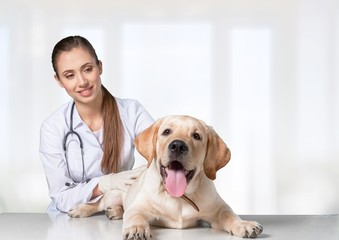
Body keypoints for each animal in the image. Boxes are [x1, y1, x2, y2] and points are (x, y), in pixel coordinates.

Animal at [69, 116, 264, 238]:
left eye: (197, 136)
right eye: (166, 132)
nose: (177, 145)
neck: (180, 198)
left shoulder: (217, 209)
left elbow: (229, 215)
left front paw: (244, 224)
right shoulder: (139, 207)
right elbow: (135, 215)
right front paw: (137, 228)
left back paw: (115, 211)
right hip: (114, 193)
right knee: (98, 203)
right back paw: (82, 209)